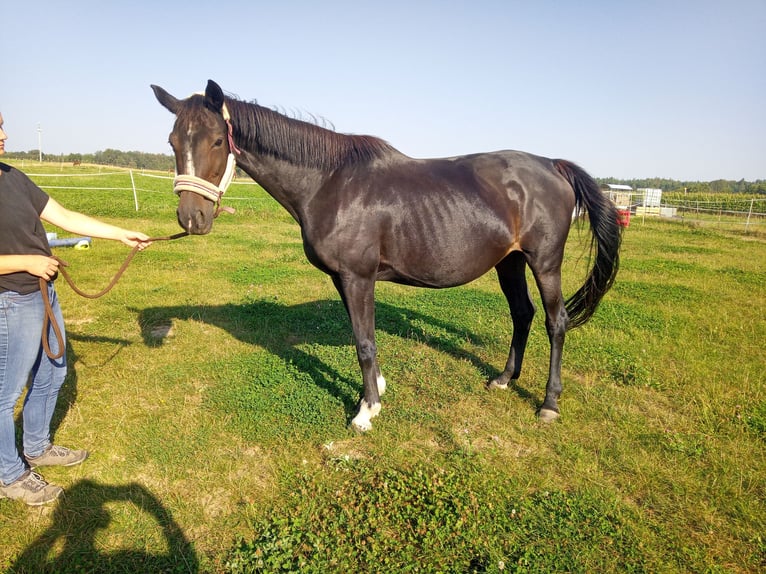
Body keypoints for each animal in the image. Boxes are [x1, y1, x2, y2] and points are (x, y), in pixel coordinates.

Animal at [152, 80, 624, 432]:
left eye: (218, 140)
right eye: (172, 141)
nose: (191, 218)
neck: (329, 182)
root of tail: (552, 164)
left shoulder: (357, 276)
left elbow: (363, 342)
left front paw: (366, 411)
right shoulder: (343, 278)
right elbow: (364, 337)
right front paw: (375, 388)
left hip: (544, 263)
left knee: (555, 322)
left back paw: (549, 403)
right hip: (508, 261)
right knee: (522, 314)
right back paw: (504, 380)